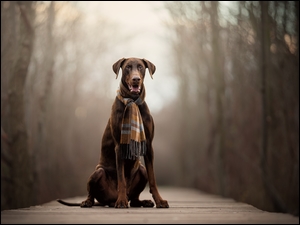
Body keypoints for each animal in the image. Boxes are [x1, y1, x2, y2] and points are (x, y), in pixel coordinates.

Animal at [56, 57, 169, 207]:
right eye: (127, 67)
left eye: (140, 67)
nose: (136, 79)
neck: (133, 100)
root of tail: (109, 200)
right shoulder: (119, 145)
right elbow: (121, 178)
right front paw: (121, 201)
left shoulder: (149, 145)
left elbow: (153, 178)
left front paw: (159, 200)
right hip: (98, 172)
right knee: (92, 192)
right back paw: (91, 201)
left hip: (141, 170)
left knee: (134, 199)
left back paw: (143, 201)